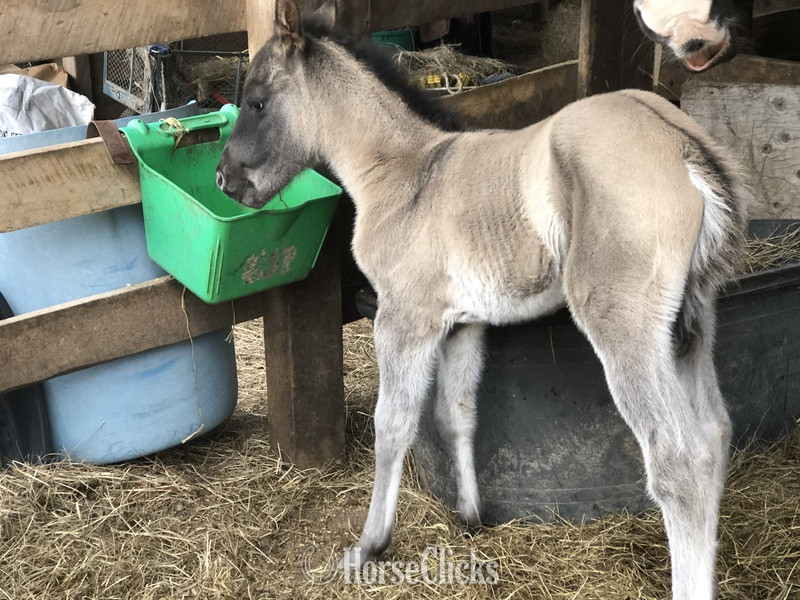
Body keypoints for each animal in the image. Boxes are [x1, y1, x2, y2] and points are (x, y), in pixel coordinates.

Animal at [216, 2, 748, 597]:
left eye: (257, 102)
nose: (224, 178)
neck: (406, 174)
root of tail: (683, 145)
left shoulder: (404, 318)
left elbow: (393, 425)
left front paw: (369, 546)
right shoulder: (463, 324)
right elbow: (456, 413)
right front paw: (470, 516)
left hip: (625, 325)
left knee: (680, 461)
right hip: (693, 324)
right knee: (716, 434)